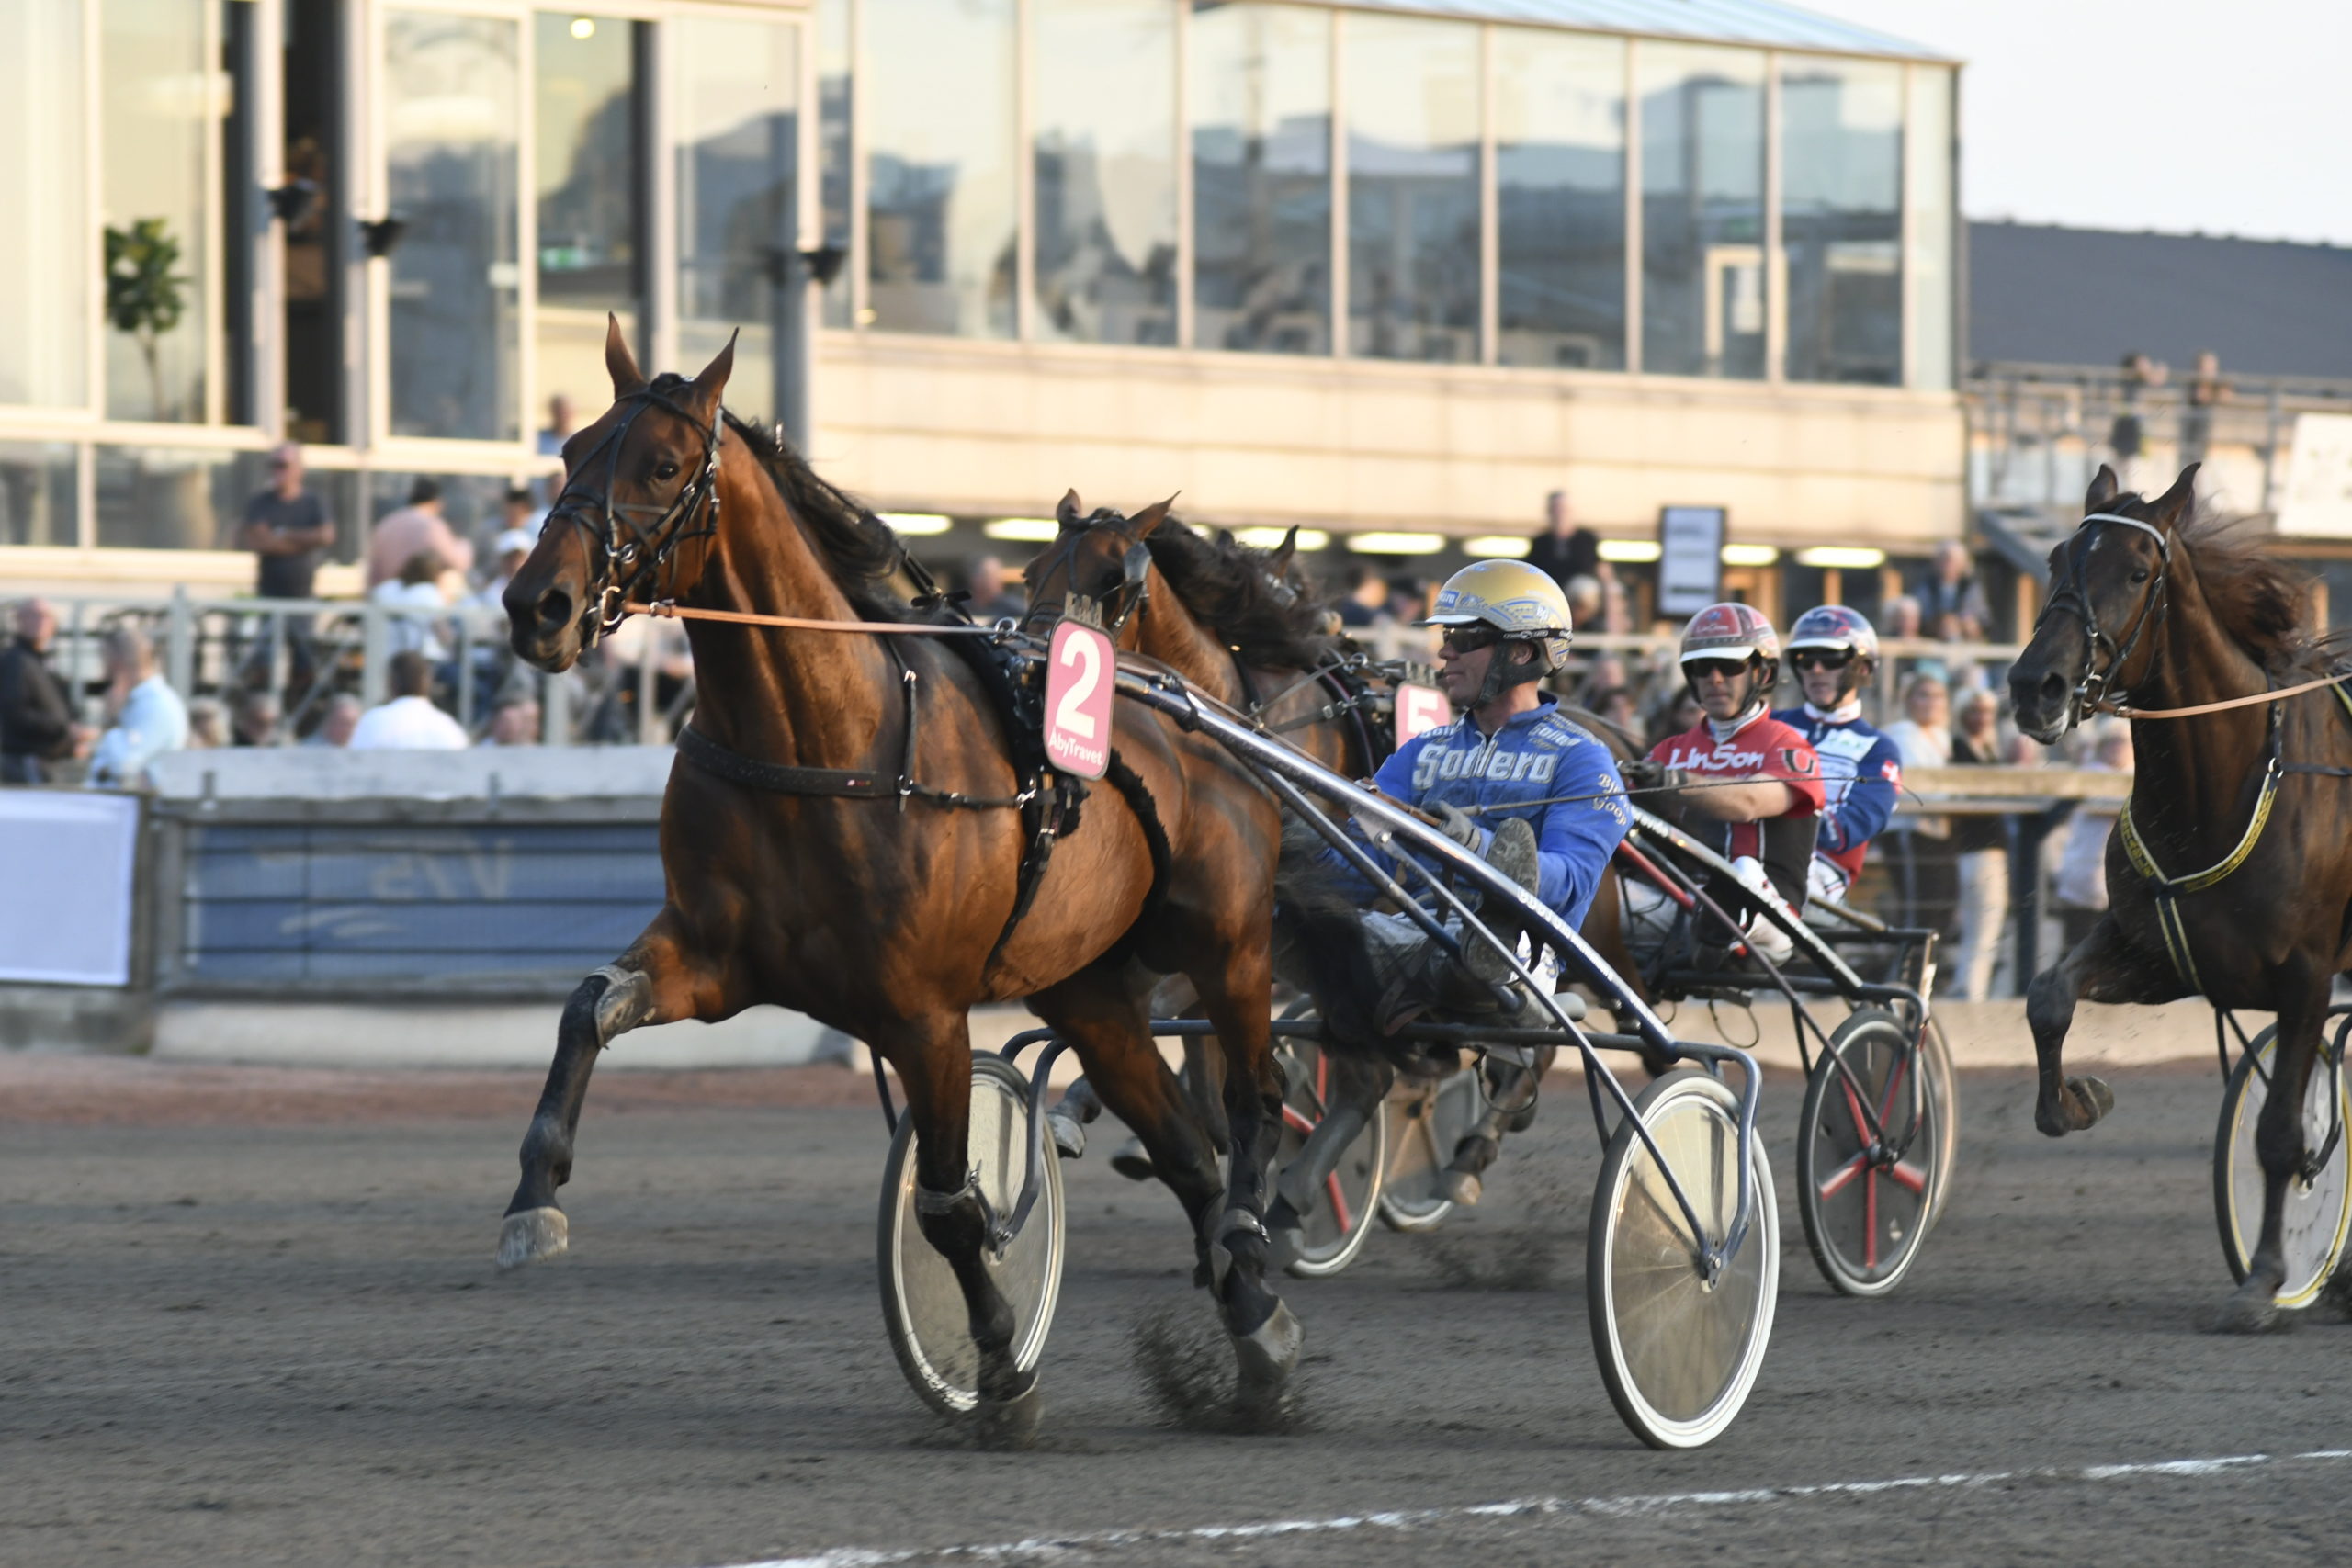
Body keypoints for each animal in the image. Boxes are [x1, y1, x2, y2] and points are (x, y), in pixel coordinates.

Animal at [494, 320, 1307, 1434]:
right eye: (571, 450)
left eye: (660, 465)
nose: (537, 603)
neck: (829, 735)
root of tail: (1206, 707)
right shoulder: (712, 959)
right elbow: (589, 1006)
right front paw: (535, 1196)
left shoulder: (923, 1012)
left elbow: (949, 1204)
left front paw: (1000, 1363)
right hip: (1087, 984)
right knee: (1185, 1145)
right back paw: (1254, 1330)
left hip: (1229, 947)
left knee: (1256, 1100)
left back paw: (1252, 1248)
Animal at [2009, 462, 2352, 1330]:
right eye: (2057, 558)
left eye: (2138, 571)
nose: (2035, 685)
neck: (2224, 784)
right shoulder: (2162, 952)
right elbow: (2048, 995)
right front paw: (2078, 1098)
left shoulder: (2307, 975)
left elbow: (2279, 1131)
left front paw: (2265, 1281)